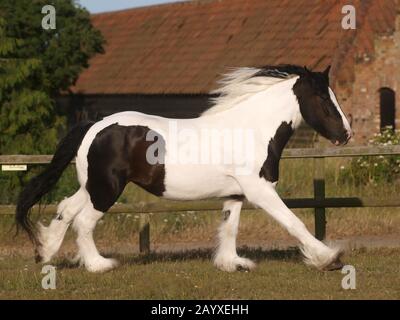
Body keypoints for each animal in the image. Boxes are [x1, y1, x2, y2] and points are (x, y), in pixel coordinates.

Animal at [15, 64, 354, 272]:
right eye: (323, 99)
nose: (346, 134)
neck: (252, 129)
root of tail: (95, 125)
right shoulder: (260, 190)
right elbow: (294, 222)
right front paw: (329, 258)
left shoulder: (236, 194)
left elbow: (229, 227)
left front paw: (232, 263)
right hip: (106, 189)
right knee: (83, 221)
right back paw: (99, 265)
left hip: (92, 186)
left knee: (65, 209)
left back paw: (45, 252)